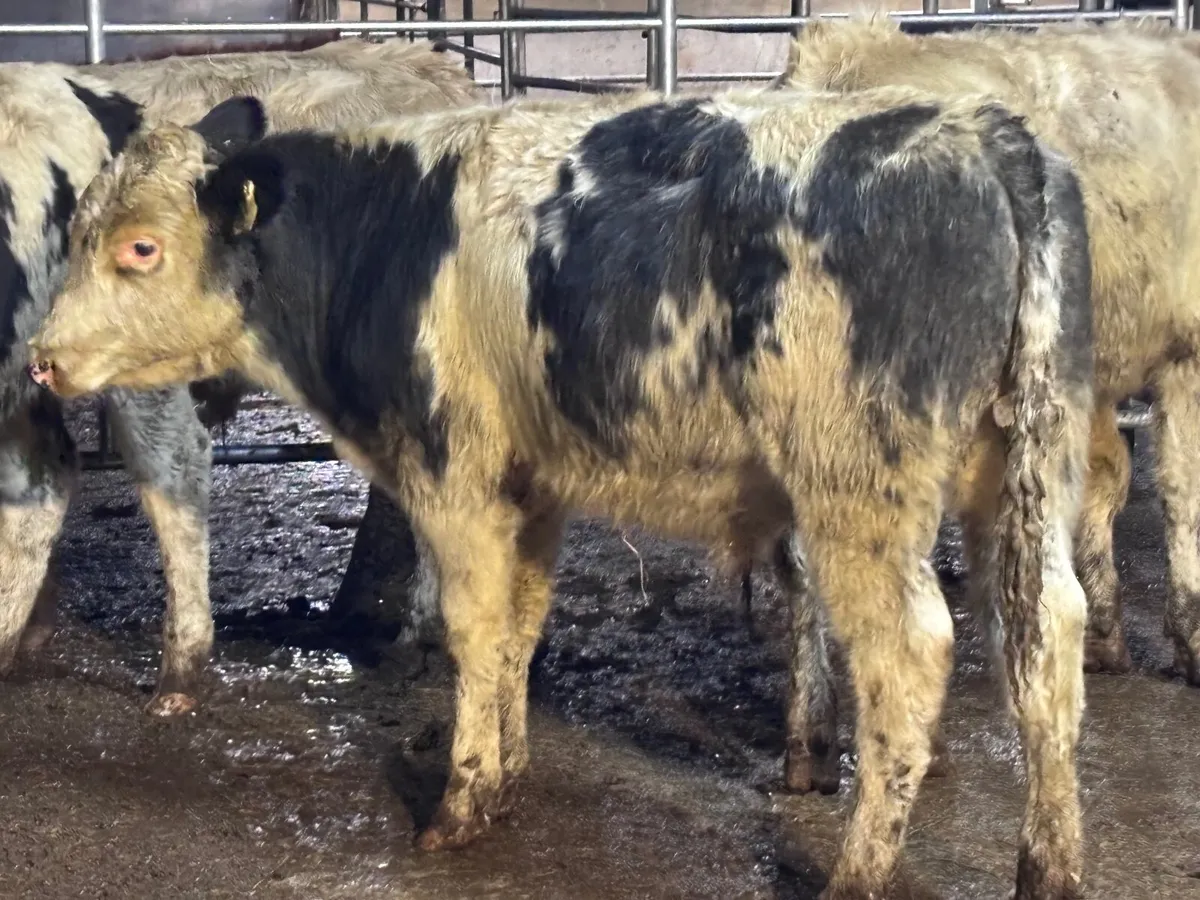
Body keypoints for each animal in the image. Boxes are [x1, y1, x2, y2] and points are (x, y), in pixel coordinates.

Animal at [26, 82, 1094, 899]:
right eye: (78, 235)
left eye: (140, 249)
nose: (41, 357)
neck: (381, 237)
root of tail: (982, 131)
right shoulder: (532, 485)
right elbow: (521, 626)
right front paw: (508, 774)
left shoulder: (449, 473)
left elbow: (473, 628)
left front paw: (461, 799)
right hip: (1028, 471)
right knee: (1047, 638)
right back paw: (1050, 867)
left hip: (859, 489)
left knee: (910, 656)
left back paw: (859, 872)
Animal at [768, 14, 1200, 793]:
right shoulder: (1187, 348)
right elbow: (1181, 493)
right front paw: (1190, 639)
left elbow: (1105, 480)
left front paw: (1107, 633)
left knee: (801, 560)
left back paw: (808, 741)